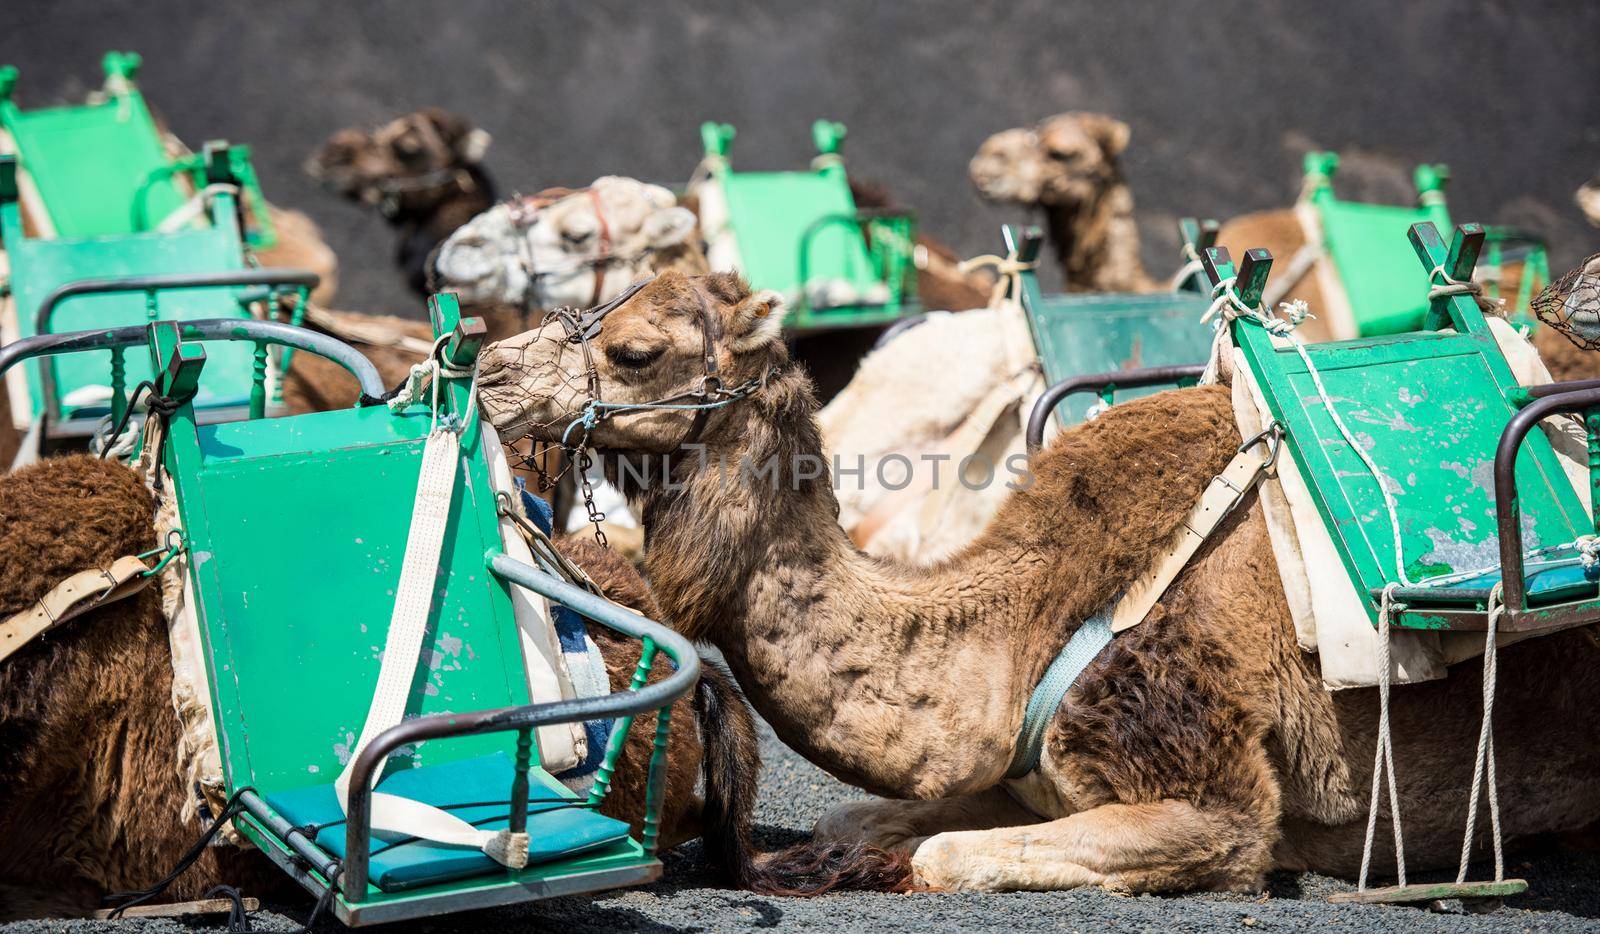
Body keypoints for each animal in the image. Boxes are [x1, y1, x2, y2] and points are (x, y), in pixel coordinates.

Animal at [473, 268, 1600, 889]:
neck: (1022, 629)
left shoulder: (1218, 802)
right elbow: (855, 818)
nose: (484, 372)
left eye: (634, 348)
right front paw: (829, 855)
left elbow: (937, 858)